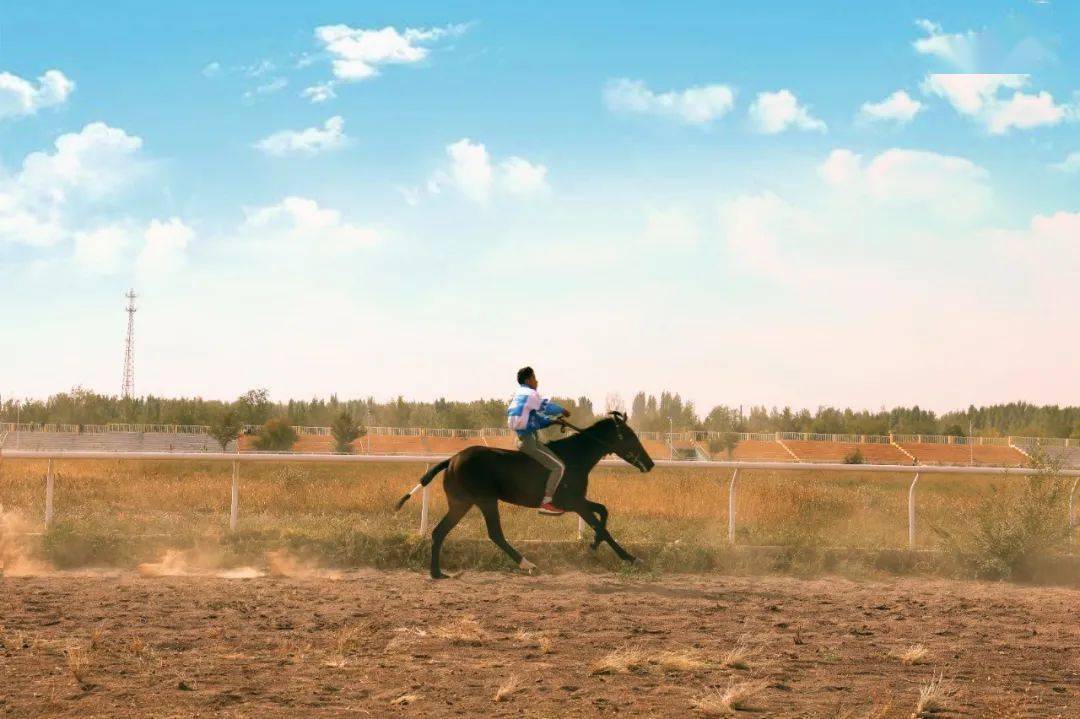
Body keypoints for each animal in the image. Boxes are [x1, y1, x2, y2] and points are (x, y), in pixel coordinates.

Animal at [395, 412, 652, 574]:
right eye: (630, 436)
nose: (649, 464)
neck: (575, 457)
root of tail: (451, 460)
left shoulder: (577, 501)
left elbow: (603, 512)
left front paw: (596, 543)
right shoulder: (573, 502)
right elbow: (602, 525)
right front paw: (628, 557)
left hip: (461, 503)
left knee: (439, 532)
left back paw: (437, 573)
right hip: (485, 500)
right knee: (494, 534)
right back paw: (527, 564)